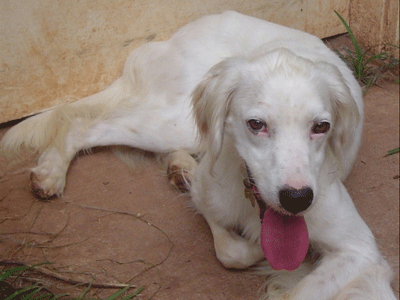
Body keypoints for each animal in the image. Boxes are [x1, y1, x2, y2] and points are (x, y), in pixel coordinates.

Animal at [0, 10, 396, 298]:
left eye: (321, 127)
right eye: (256, 124)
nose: (297, 199)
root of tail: (177, 35)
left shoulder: (359, 250)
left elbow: (294, 285)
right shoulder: (212, 194)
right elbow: (233, 249)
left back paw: (178, 167)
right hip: (176, 122)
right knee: (83, 123)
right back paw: (51, 172)